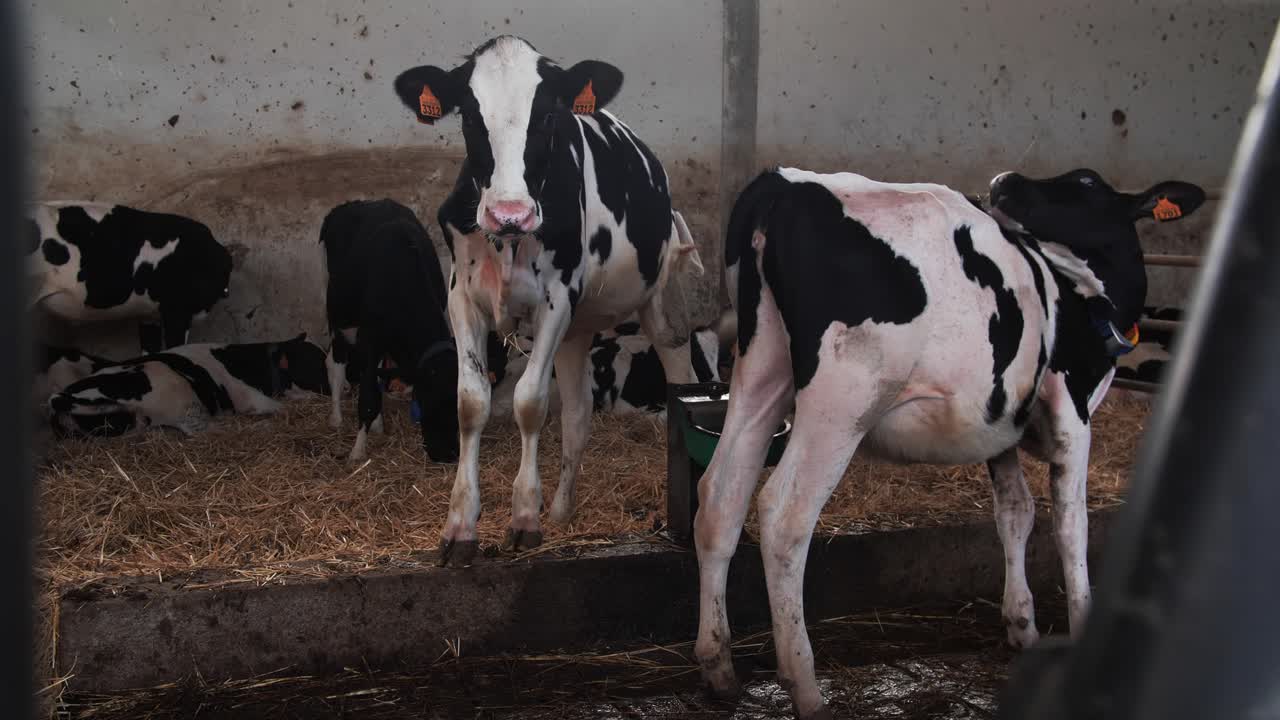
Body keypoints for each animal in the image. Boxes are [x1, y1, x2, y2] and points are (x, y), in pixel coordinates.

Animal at [49, 334, 329, 438]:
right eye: (317, 365)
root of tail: (63, 396)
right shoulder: (249, 397)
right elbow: (281, 407)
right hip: (174, 389)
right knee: (204, 429)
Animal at [393, 35, 702, 565]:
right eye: (470, 115)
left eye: (548, 116)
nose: (509, 213)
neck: (509, 243)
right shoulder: (462, 296)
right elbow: (470, 402)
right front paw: (461, 526)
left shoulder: (557, 299)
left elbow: (530, 402)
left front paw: (523, 518)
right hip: (577, 329)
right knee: (578, 414)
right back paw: (561, 511)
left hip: (660, 301)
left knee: (678, 372)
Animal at [691, 167, 1205, 720]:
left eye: (1085, 184)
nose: (1003, 180)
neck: (1076, 294)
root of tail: (783, 184)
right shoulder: (1073, 409)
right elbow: (1071, 526)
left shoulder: (998, 424)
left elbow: (1015, 513)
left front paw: (1022, 624)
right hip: (842, 399)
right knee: (784, 515)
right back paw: (804, 685)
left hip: (762, 370)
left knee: (720, 497)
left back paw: (718, 666)